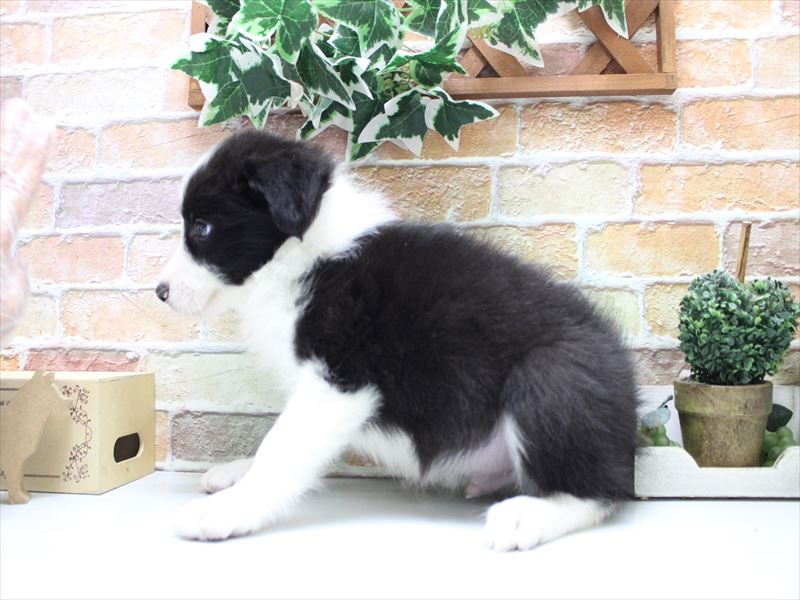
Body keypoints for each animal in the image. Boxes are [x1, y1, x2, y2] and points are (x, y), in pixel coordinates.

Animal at [156, 130, 638, 551]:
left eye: (201, 228)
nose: (159, 292)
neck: (302, 257)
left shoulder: (338, 381)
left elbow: (282, 445)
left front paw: (227, 510)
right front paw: (237, 473)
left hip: (550, 377)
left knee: (601, 491)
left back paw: (527, 517)